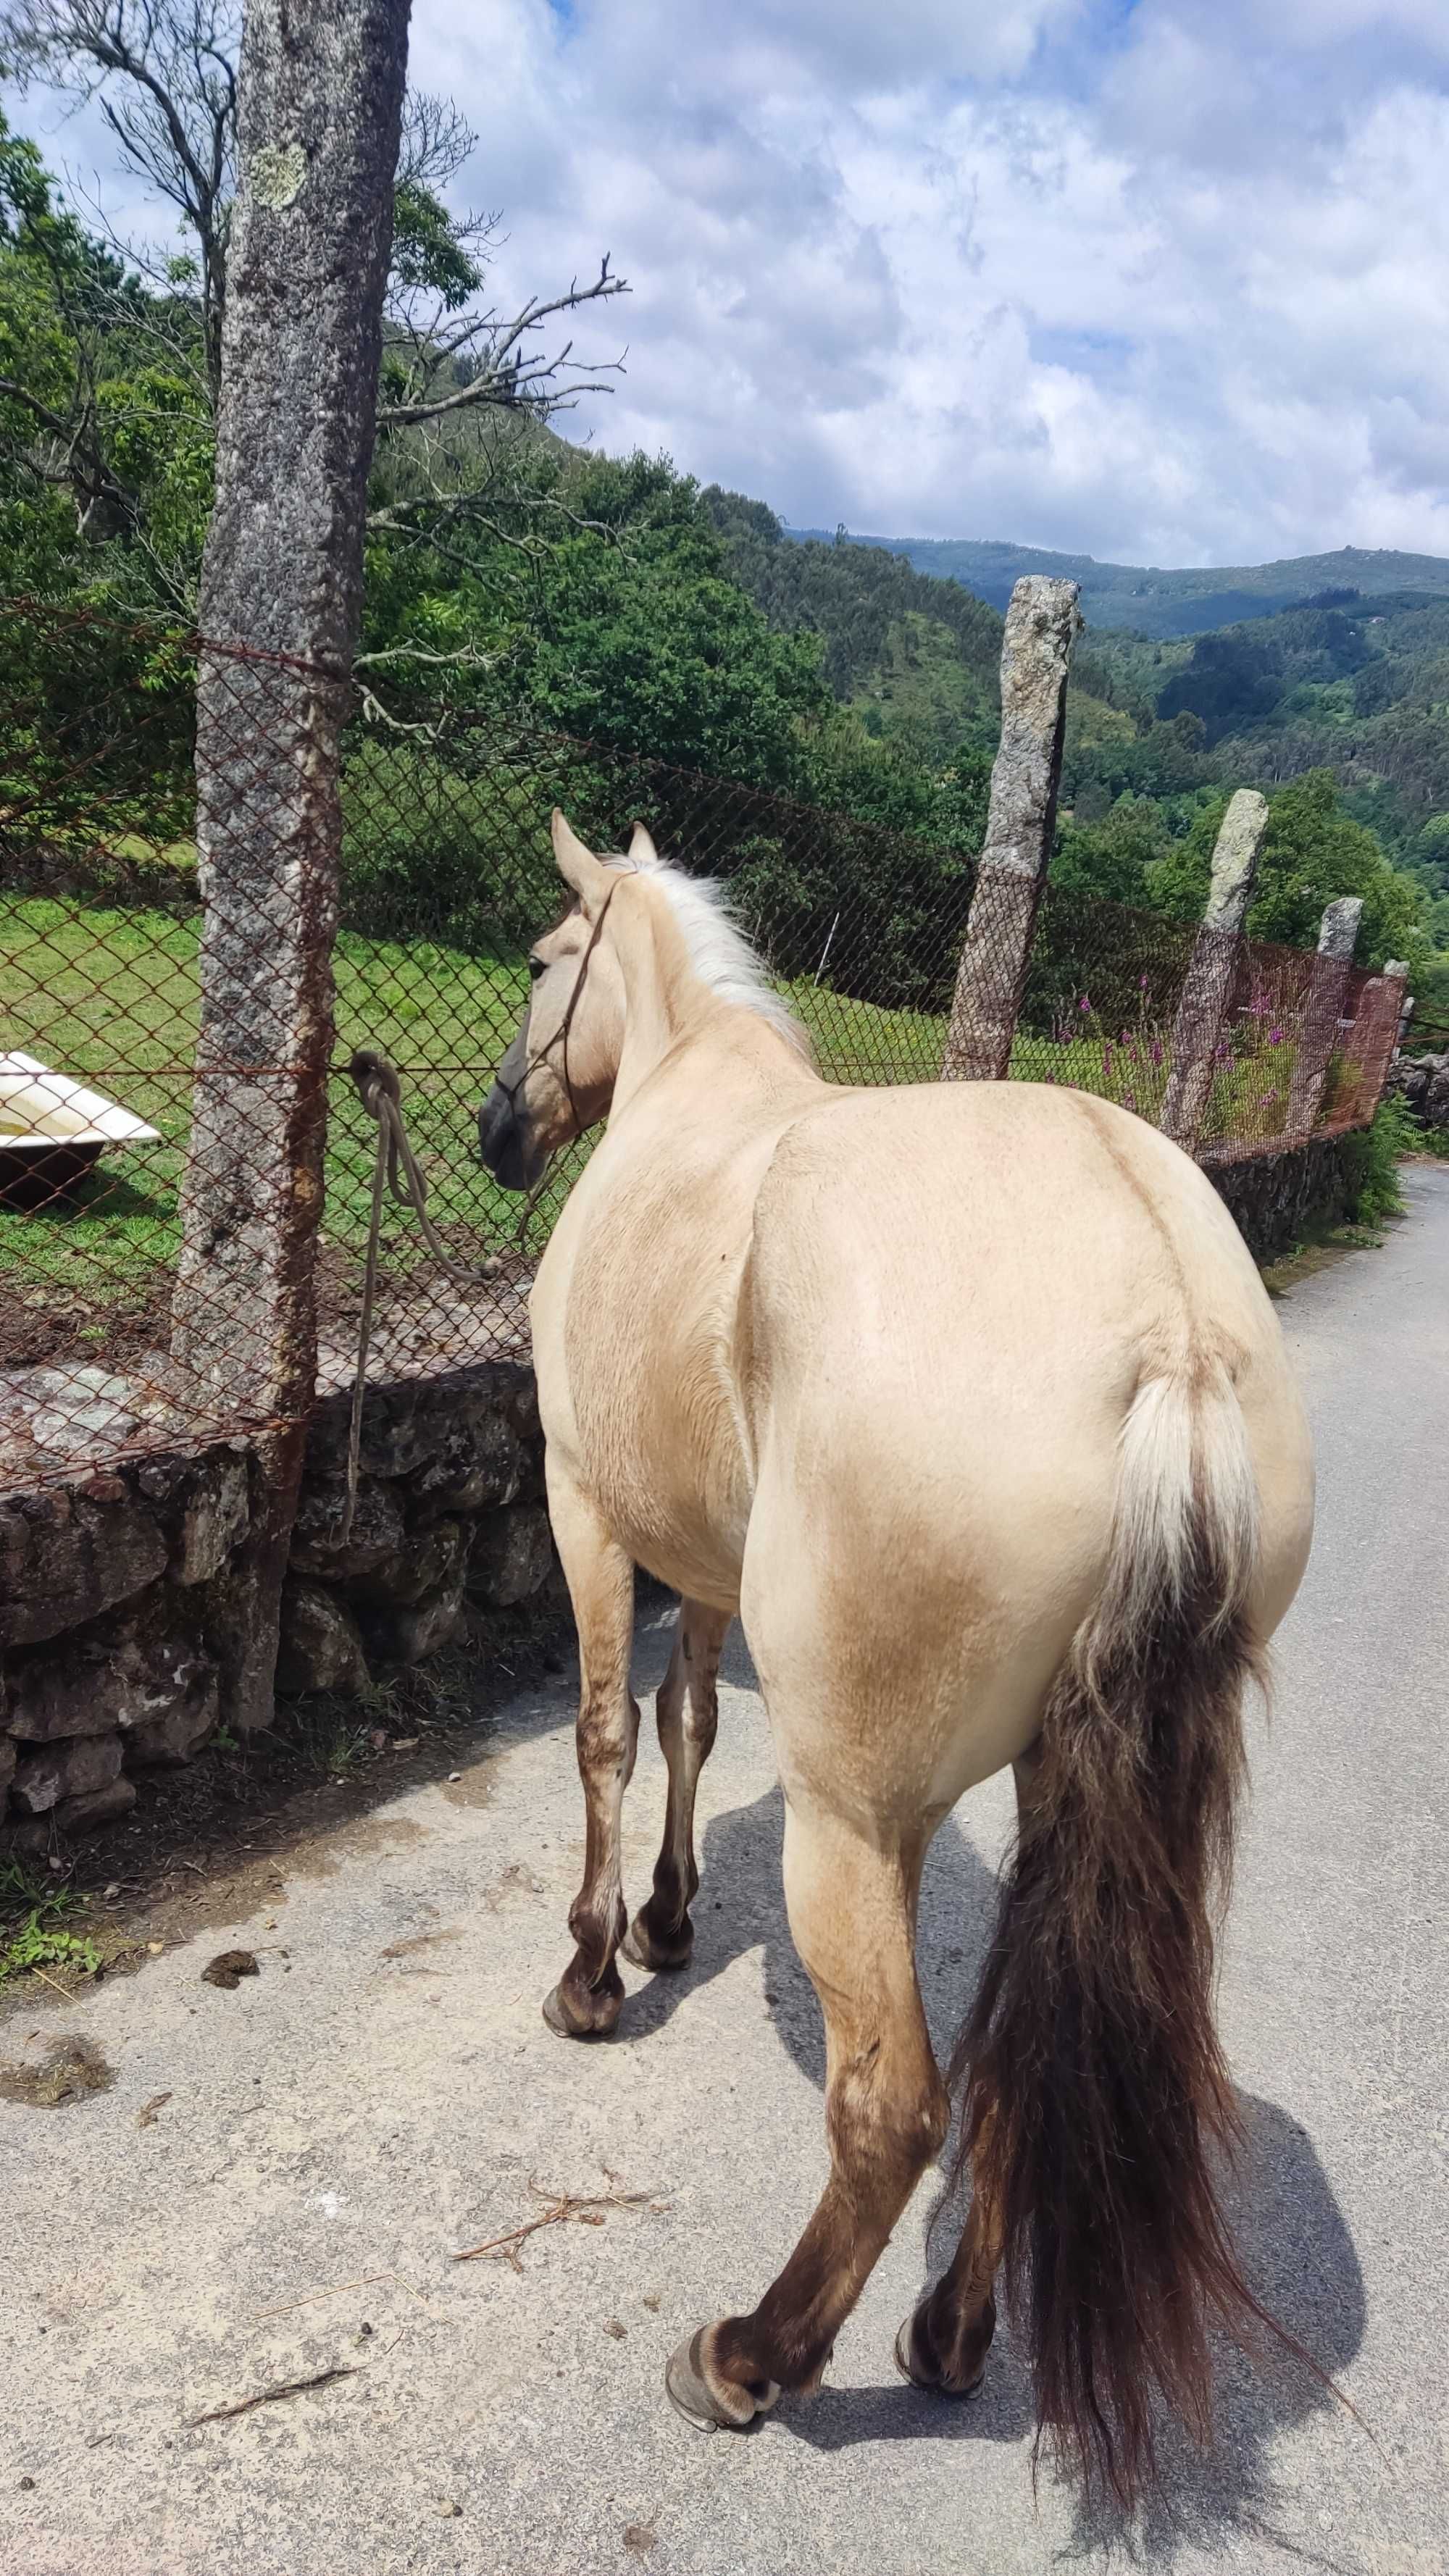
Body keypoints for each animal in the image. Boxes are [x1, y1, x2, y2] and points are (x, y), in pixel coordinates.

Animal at [474, 808, 1309, 2493]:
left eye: (539, 961)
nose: (493, 1132)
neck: (690, 1080)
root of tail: (1176, 1340)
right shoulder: (705, 1559)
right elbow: (686, 1718)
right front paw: (667, 1918)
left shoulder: (587, 1506)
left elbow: (605, 1733)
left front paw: (595, 1966)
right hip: (1065, 1795)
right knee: (1023, 2072)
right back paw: (950, 2332)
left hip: (856, 1821)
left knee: (896, 2106)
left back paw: (752, 2355)